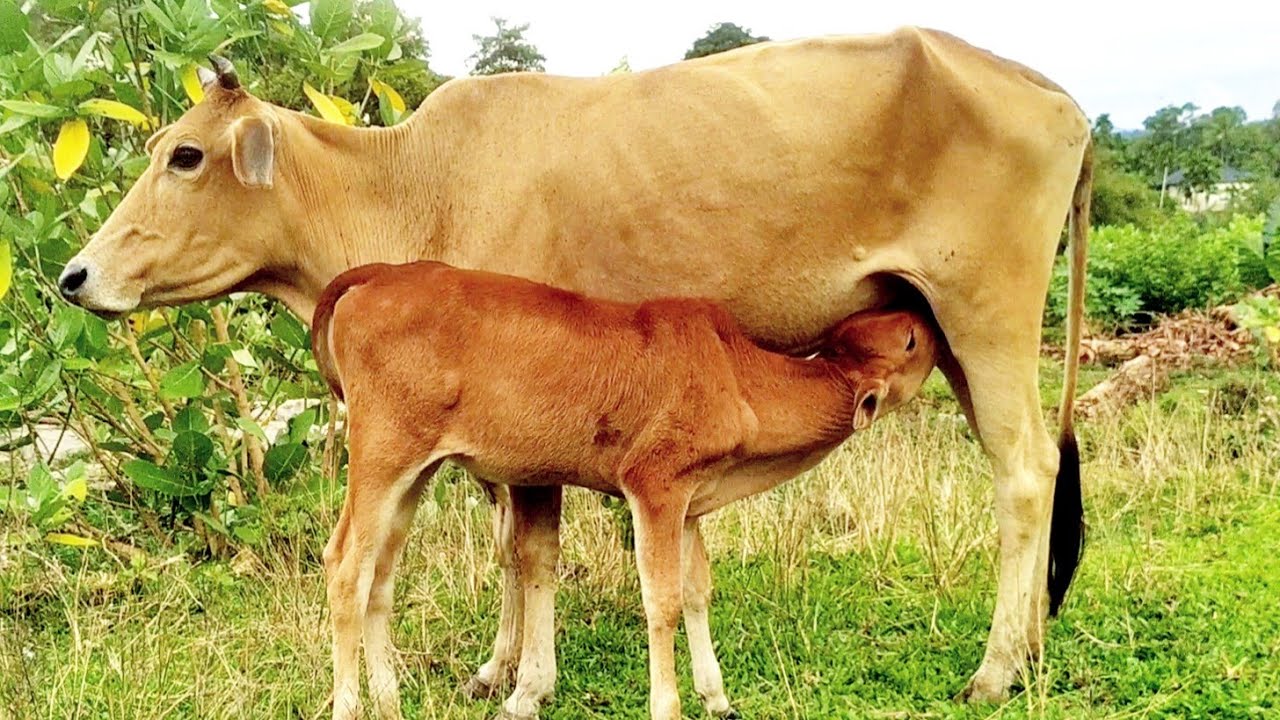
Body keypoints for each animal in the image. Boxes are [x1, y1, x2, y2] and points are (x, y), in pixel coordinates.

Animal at [310, 259, 940, 720]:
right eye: (911, 341)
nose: (925, 312)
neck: (737, 378)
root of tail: (376, 276)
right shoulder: (655, 487)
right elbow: (661, 600)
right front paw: (670, 705)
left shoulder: (690, 504)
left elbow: (696, 590)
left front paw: (716, 695)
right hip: (382, 456)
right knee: (344, 566)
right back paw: (350, 705)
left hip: (415, 472)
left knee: (380, 575)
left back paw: (389, 700)